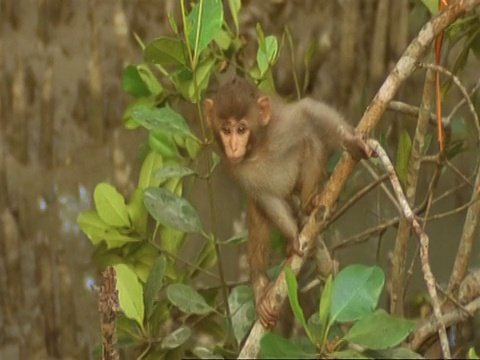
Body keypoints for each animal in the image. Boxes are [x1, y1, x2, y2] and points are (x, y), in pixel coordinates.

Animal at [202, 76, 372, 330]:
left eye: (241, 129)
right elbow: (264, 197)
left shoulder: (282, 128)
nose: (233, 147)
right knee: (257, 209)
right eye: (225, 129)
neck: (258, 148)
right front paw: (293, 238)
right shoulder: (241, 171)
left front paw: (350, 140)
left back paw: (311, 204)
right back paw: (261, 287)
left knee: (309, 138)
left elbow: (307, 112)